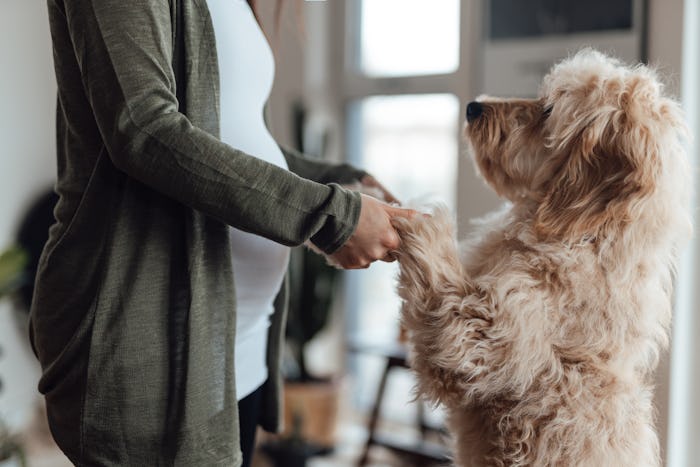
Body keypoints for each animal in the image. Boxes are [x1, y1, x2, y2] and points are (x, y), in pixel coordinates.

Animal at [392, 49, 692, 466]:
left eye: (548, 111)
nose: (473, 107)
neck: (586, 236)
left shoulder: (482, 340)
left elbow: (453, 311)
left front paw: (426, 224)